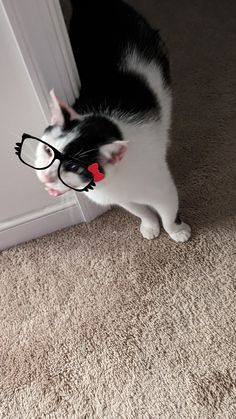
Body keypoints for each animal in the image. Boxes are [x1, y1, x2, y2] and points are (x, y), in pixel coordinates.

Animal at [35, 0, 192, 243]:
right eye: (48, 150)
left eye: (73, 167)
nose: (45, 175)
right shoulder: (123, 199)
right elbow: (141, 211)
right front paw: (149, 226)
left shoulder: (163, 190)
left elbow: (168, 213)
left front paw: (177, 231)